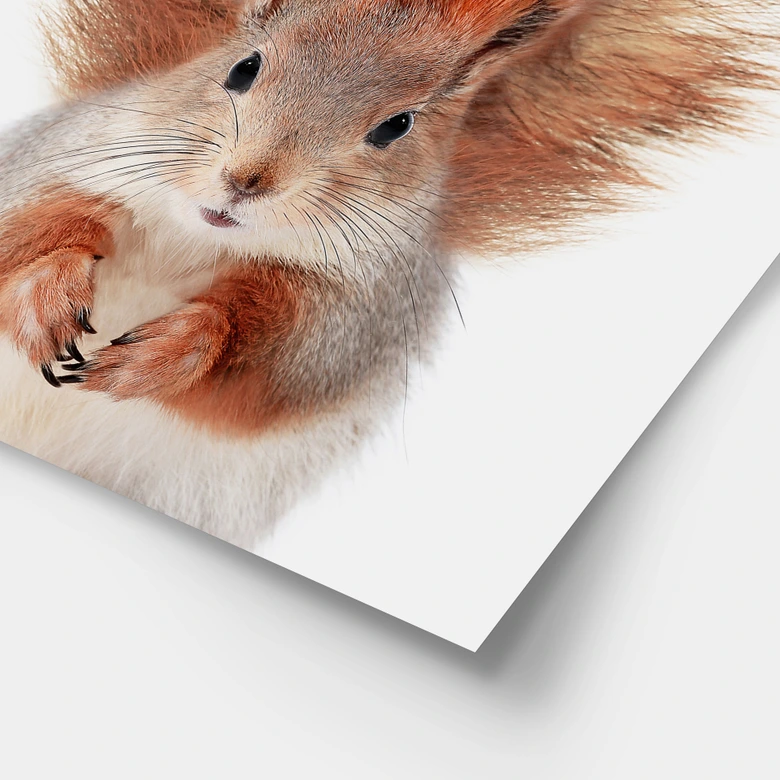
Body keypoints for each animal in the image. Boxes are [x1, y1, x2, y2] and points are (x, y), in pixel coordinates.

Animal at [0, 0, 776, 548]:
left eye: (396, 126)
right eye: (244, 67)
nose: (245, 181)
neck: (194, 239)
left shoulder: (362, 311)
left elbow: (286, 367)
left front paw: (176, 347)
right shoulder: (72, 156)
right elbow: (32, 223)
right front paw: (47, 295)